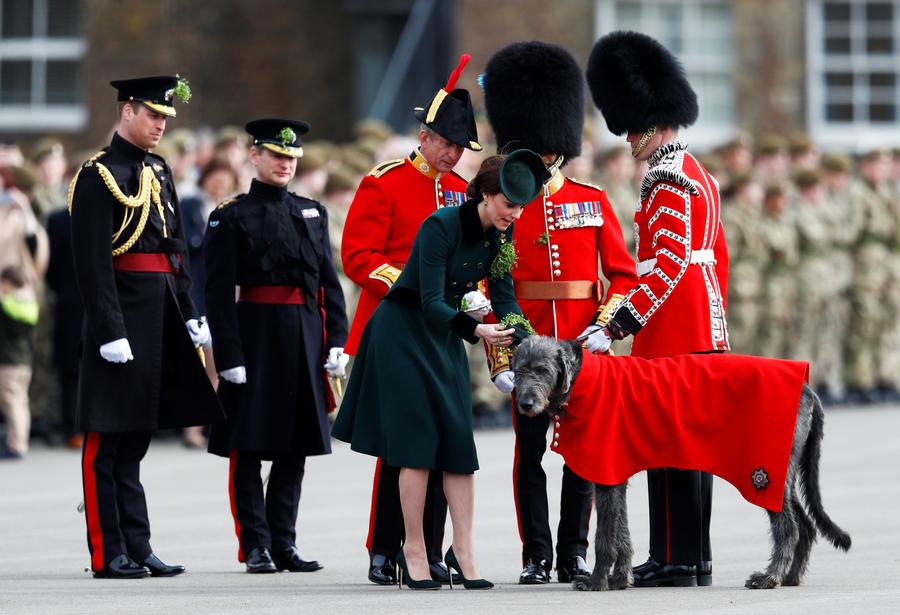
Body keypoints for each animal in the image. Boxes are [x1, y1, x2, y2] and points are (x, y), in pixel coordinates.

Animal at [512, 336, 852, 592]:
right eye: (518, 371)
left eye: (542, 370)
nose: (525, 404)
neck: (584, 380)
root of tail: (808, 389)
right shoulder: (614, 473)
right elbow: (620, 528)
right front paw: (619, 579)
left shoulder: (606, 469)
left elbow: (605, 535)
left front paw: (597, 582)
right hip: (783, 471)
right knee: (805, 524)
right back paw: (792, 577)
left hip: (765, 472)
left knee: (789, 526)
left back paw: (770, 577)